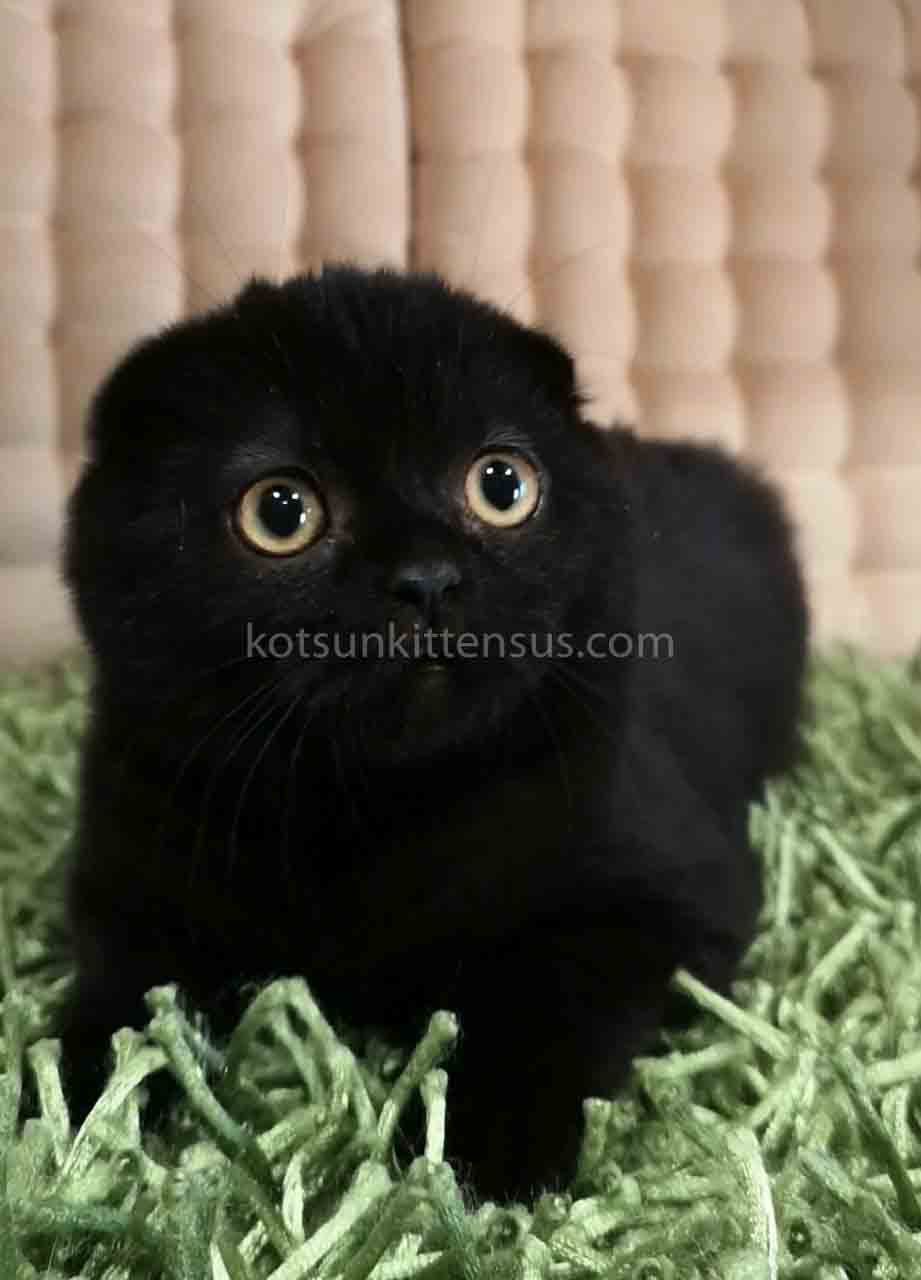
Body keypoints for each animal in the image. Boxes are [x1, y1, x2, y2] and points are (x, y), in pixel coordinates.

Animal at [58, 264, 808, 1202]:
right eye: (280, 511)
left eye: (502, 486)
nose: (425, 579)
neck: (364, 808)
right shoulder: (129, 876)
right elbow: (121, 1003)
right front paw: (71, 1116)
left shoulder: (673, 892)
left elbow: (548, 996)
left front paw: (489, 1149)